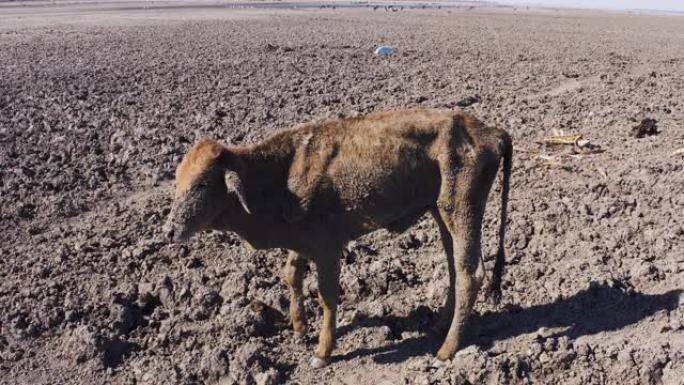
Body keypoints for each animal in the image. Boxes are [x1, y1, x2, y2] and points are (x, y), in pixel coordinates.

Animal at [163, 108, 510, 366]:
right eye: (177, 180)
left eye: (201, 184)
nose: (169, 230)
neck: (280, 175)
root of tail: (490, 131)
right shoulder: (303, 240)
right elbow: (291, 274)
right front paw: (299, 328)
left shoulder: (327, 248)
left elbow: (327, 296)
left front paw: (322, 351)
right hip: (441, 214)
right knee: (454, 268)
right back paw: (439, 325)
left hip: (461, 211)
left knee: (469, 274)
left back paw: (446, 349)